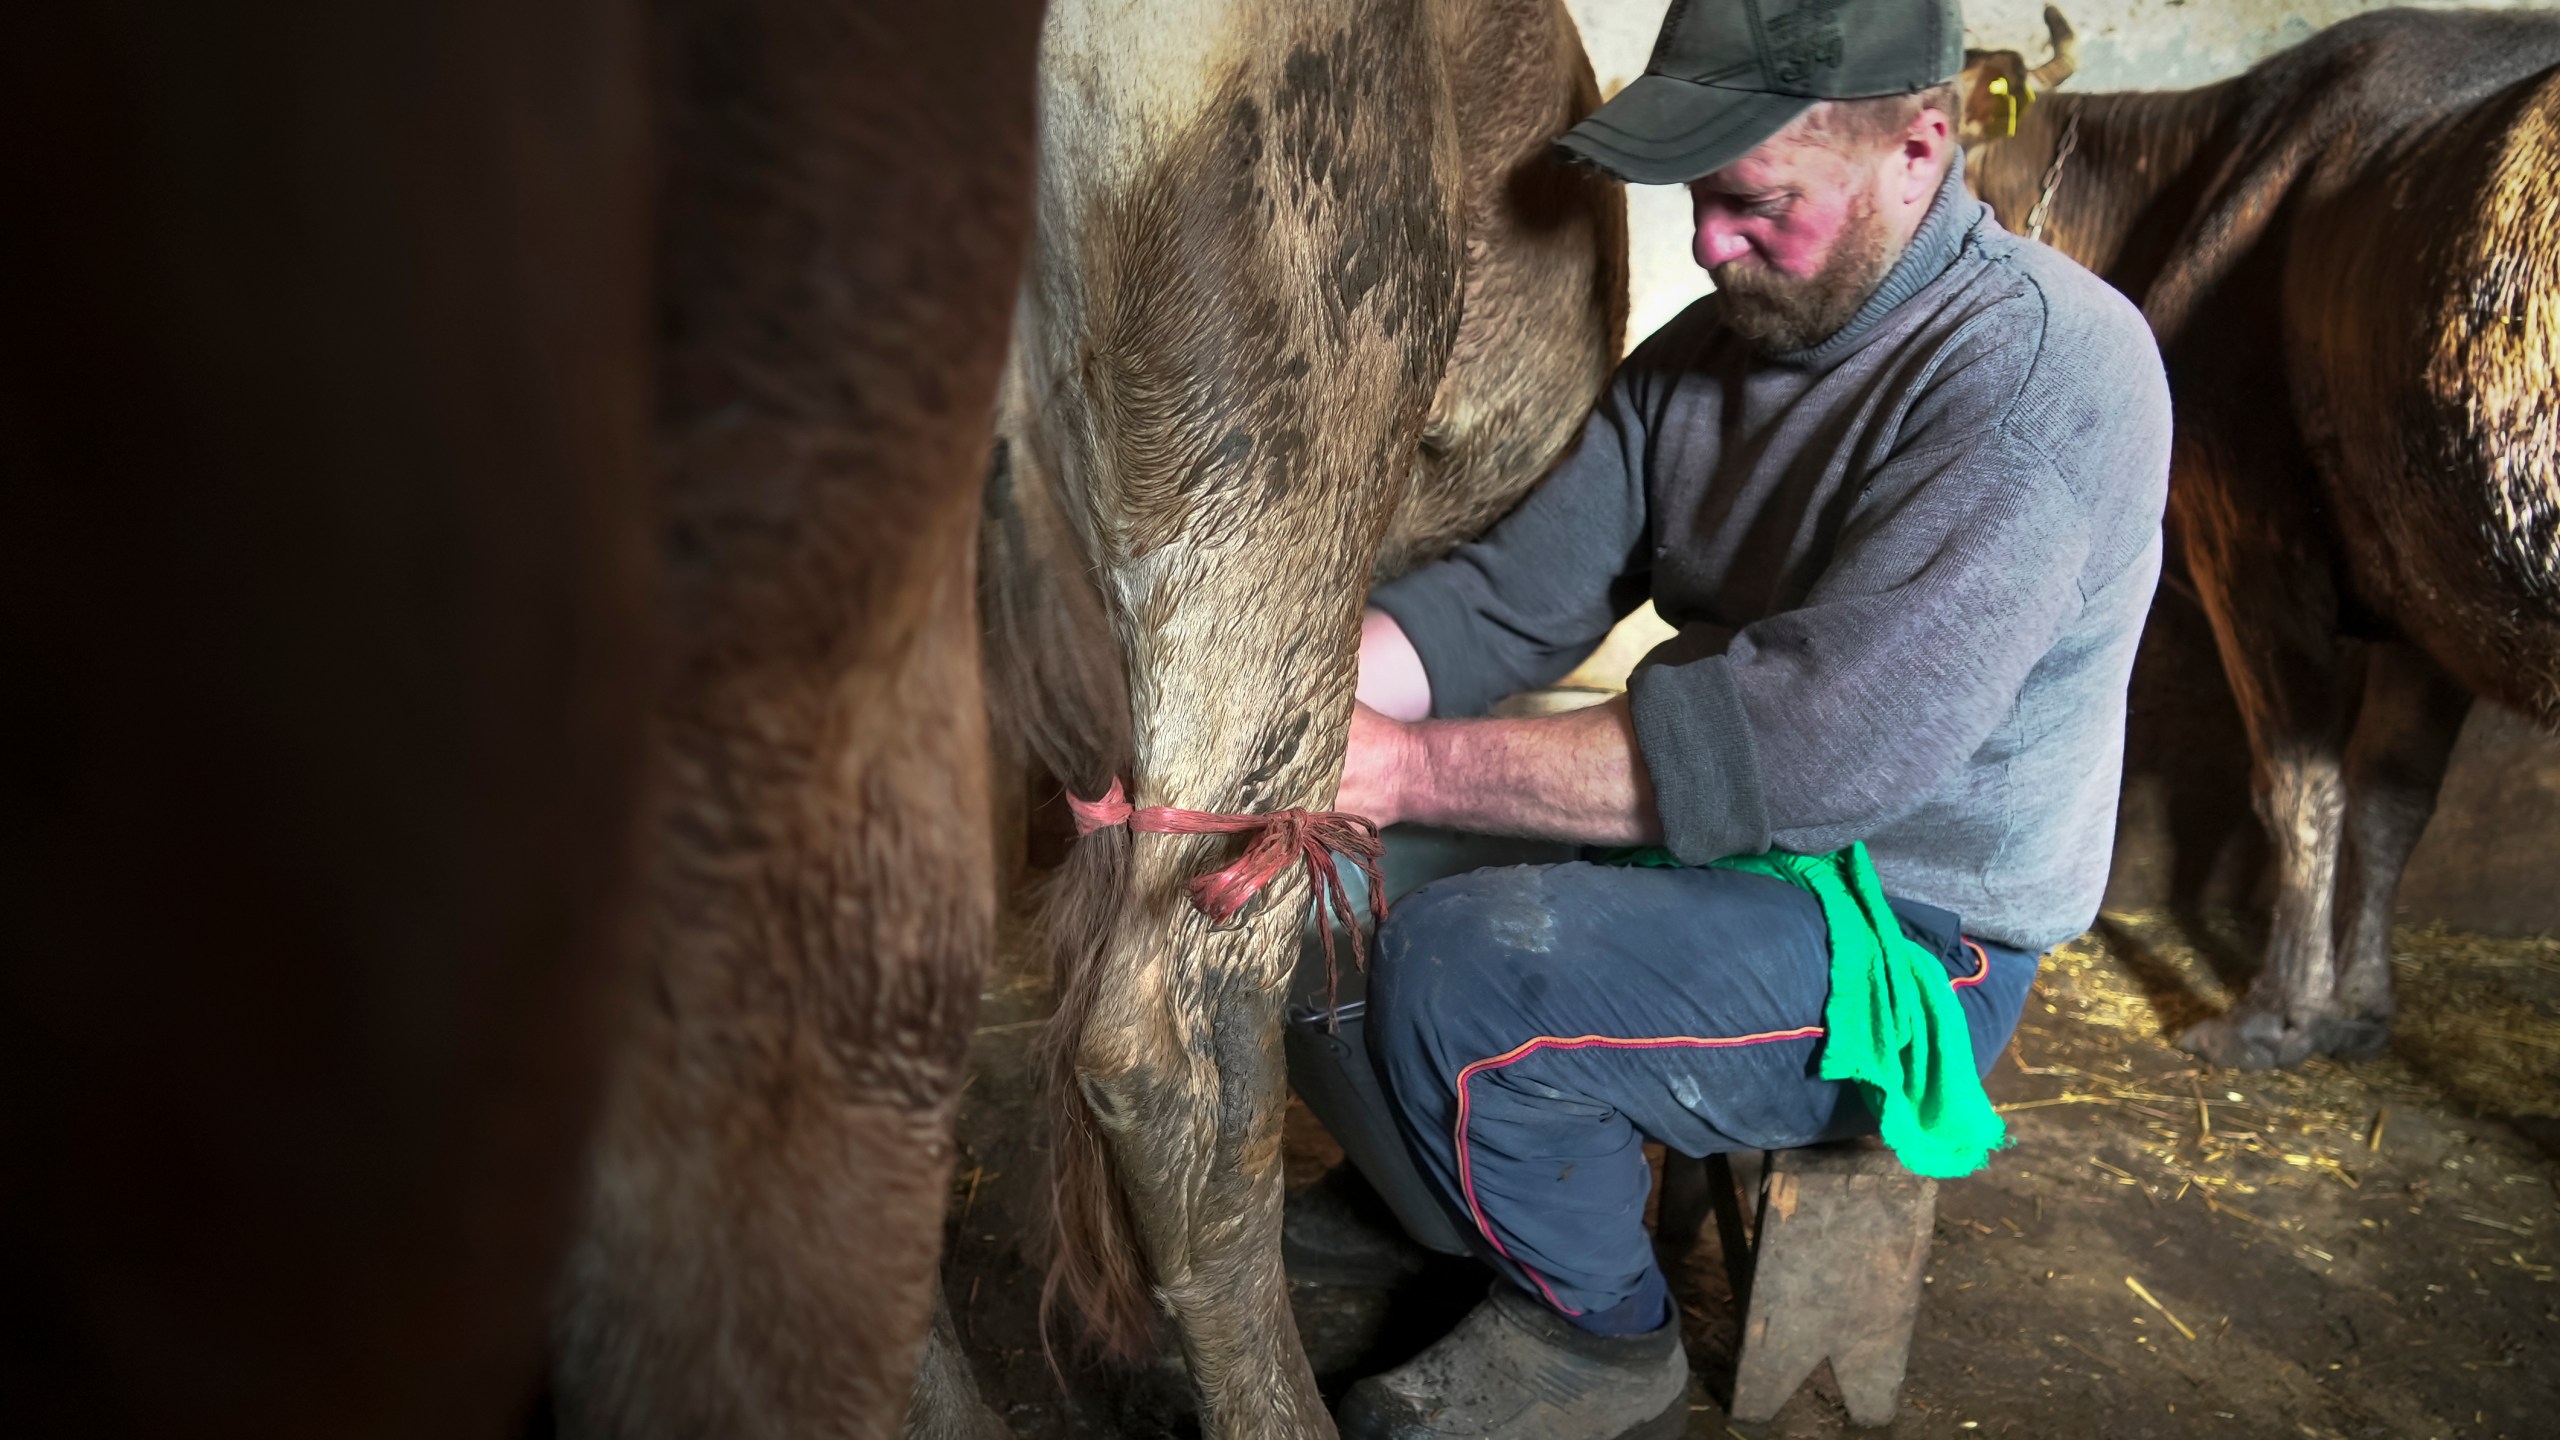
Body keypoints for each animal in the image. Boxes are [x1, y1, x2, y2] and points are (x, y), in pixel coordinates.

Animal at [1966, 8, 2560, 1065]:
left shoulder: (2246, 534)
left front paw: (2277, 1013)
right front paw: (2361, 1008)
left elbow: (2298, 785)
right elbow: (2393, 797)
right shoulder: (2432, 589)